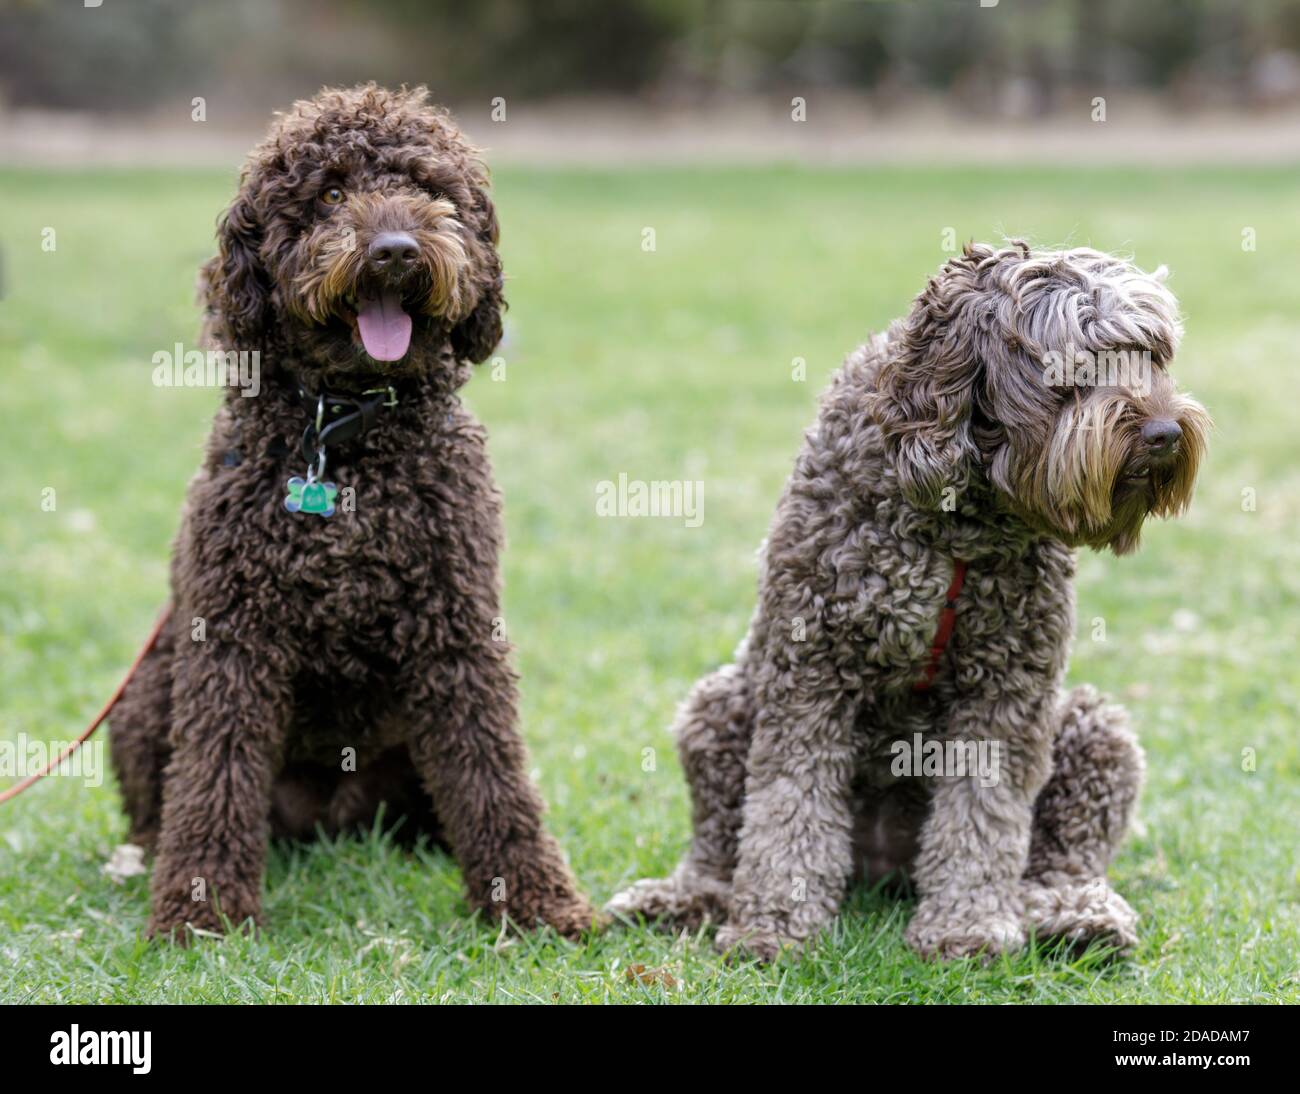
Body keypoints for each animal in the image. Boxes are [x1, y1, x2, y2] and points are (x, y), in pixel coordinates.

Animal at [109, 83, 595, 935]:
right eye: (331, 195)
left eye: (429, 190)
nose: (396, 250)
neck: (344, 432)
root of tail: (332, 822)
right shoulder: (231, 640)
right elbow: (214, 774)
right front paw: (203, 911)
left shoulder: (458, 630)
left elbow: (494, 772)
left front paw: (534, 901)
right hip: (143, 697)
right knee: (158, 806)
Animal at [608, 242, 1206, 961]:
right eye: (1077, 364)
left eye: (1155, 355)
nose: (1165, 432)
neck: (959, 512)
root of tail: (883, 865)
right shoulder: (809, 671)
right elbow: (787, 808)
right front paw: (774, 926)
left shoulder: (1009, 690)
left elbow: (983, 817)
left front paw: (966, 928)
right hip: (719, 706)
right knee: (720, 842)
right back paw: (685, 896)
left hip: (1094, 731)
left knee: (1064, 854)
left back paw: (1075, 915)